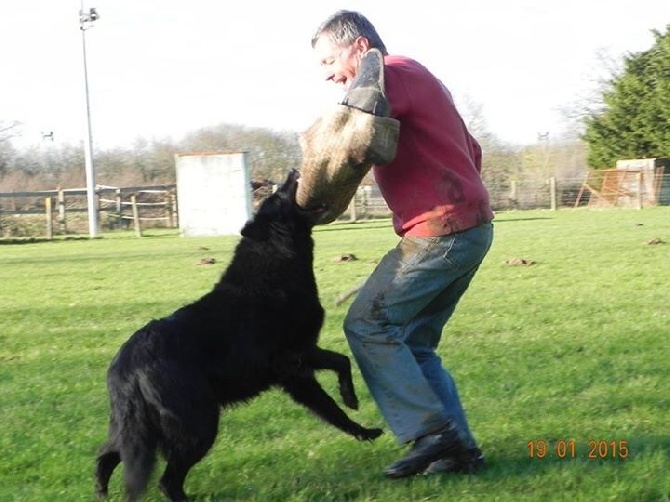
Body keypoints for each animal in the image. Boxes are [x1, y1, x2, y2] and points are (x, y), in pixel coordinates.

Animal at [93, 171, 384, 500]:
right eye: (280, 196)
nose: (292, 172)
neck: (275, 259)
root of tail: (129, 362)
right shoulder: (296, 355)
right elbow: (342, 360)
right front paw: (352, 398)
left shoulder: (295, 376)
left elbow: (330, 409)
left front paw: (362, 431)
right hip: (198, 423)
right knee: (167, 480)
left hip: (135, 428)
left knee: (106, 456)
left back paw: (101, 493)